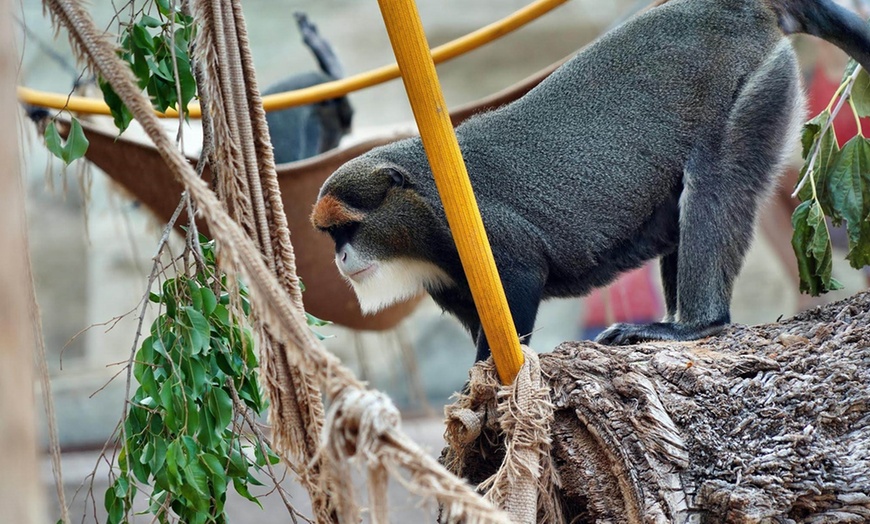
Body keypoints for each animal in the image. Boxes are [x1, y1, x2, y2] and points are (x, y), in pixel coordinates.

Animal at [310, 0, 868, 362]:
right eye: (330, 235)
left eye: (348, 229)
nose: (340, 259)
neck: (421, 210)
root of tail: (730, 8)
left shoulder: (481, 236)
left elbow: (523, 279)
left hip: (754, 88)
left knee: (715, 185)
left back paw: (692, 326)